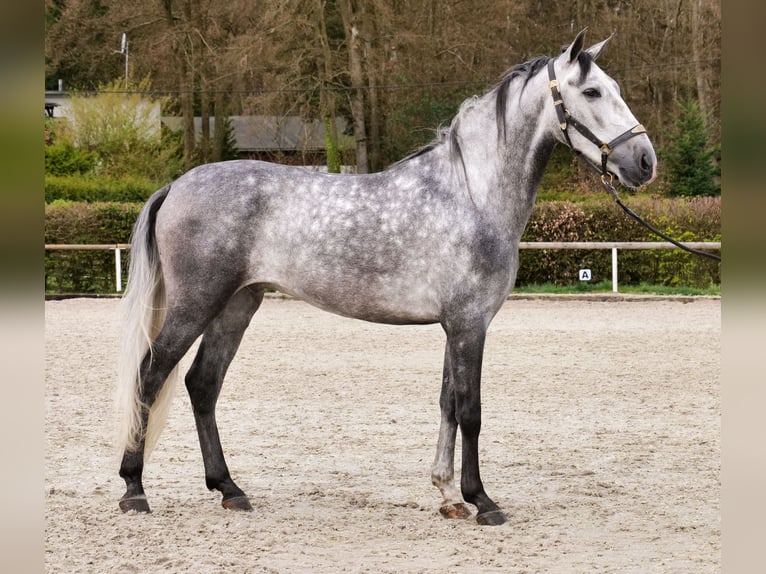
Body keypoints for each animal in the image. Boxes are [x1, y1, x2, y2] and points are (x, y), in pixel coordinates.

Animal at [116, 29, 656, 526]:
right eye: (591, 92)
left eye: (614, 87)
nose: (645, 161)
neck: (470, 193)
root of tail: (176, 185)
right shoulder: (470, 324)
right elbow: (471, 411)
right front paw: (482, 501)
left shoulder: (455, 326)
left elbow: (447, 405)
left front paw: (448, 495)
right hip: (196, 304)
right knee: (150, 374)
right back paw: (134, 489)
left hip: (237, 305)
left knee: (202, 384)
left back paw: (229, 489)